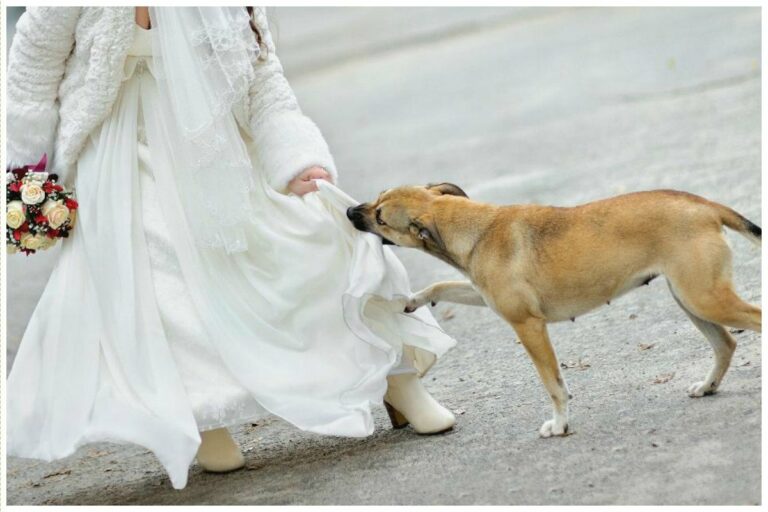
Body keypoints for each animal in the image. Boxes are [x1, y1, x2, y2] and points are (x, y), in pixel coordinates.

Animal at [350, 183, 760, 436]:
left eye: (381, 216)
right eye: (376, 198)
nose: (352, 210)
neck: (474, 228)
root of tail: (705, 206)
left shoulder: (529, 327)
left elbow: (554, 386)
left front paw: (560, 425)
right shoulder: (483, 295)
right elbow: (444, 287)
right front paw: (411, 300)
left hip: (706, 297)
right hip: (692, 299)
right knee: (725, 344)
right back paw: (707, 387)